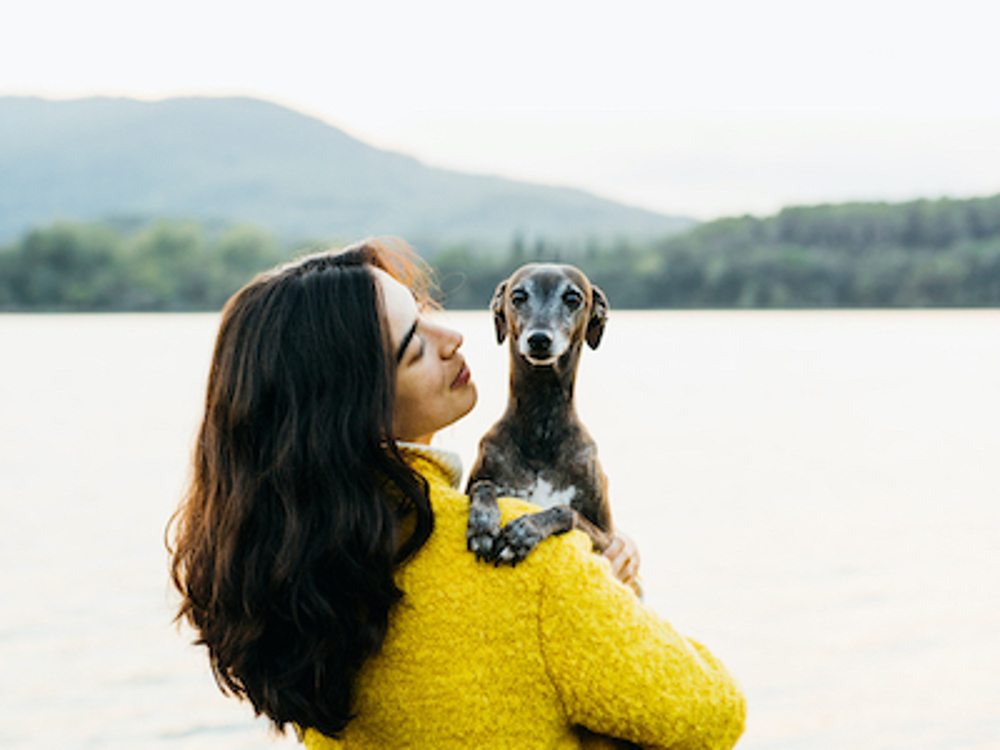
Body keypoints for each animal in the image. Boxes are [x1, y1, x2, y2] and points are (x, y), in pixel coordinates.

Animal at [464, 264, 612, 564]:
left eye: (573, 298)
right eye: (518, 296)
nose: (539, 339)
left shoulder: (608, 541)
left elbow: (567, 511)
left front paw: (525, 530)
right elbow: (482, 485)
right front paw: (483, 522)